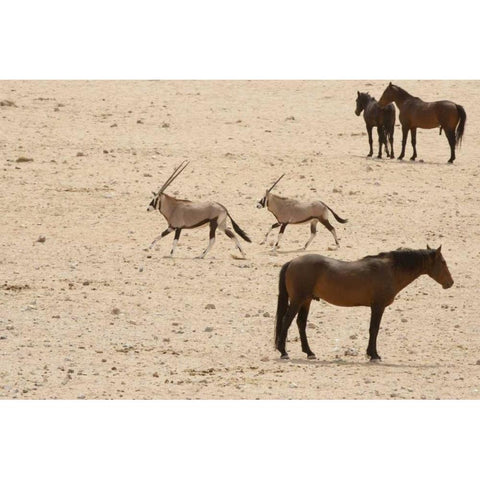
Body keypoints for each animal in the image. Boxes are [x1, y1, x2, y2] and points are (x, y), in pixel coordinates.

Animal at [274, 248, 454, 360]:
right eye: (443, 262)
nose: (450, 283)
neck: (390, 270)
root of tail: (292, 261)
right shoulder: (378, 307)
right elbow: (374, 329)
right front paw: (373, 354)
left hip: (306, 300)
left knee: (301, 323)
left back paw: (309, 352)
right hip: (298, 300)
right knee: (286, 321)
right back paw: (283, 352)